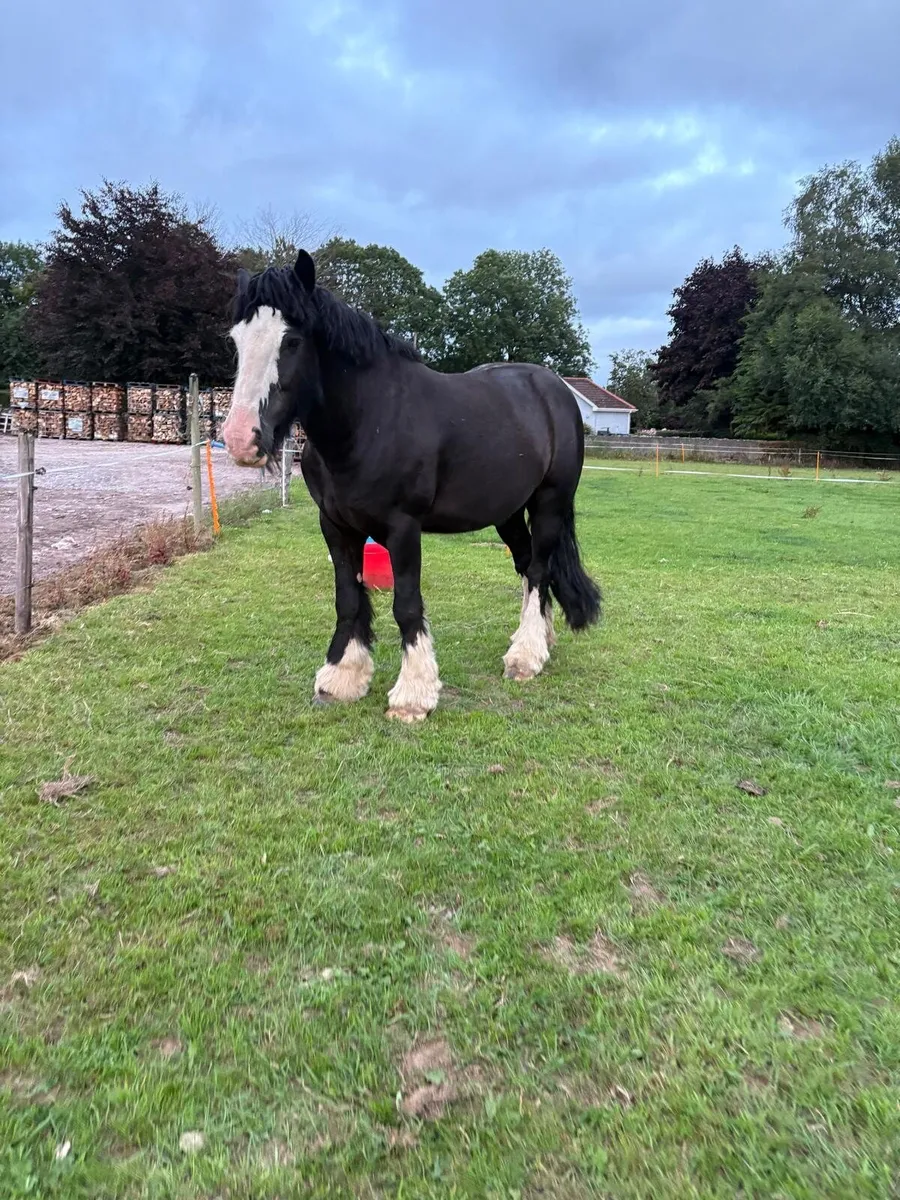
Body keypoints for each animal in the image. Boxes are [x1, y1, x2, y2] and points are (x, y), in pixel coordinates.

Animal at [222, 250, 601, 722]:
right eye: (236, 340)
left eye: (290, 341)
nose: (241, 438)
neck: (369, 419)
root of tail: (555, 389)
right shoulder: (335, 526)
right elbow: (348, 597)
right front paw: (342, 678)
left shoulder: (403, 528)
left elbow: (406, 604)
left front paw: (413, 695)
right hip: (508, 512)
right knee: (530, 565)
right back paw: (539, 641)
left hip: (550, 502)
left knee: (538, 569)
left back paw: (526, 656)